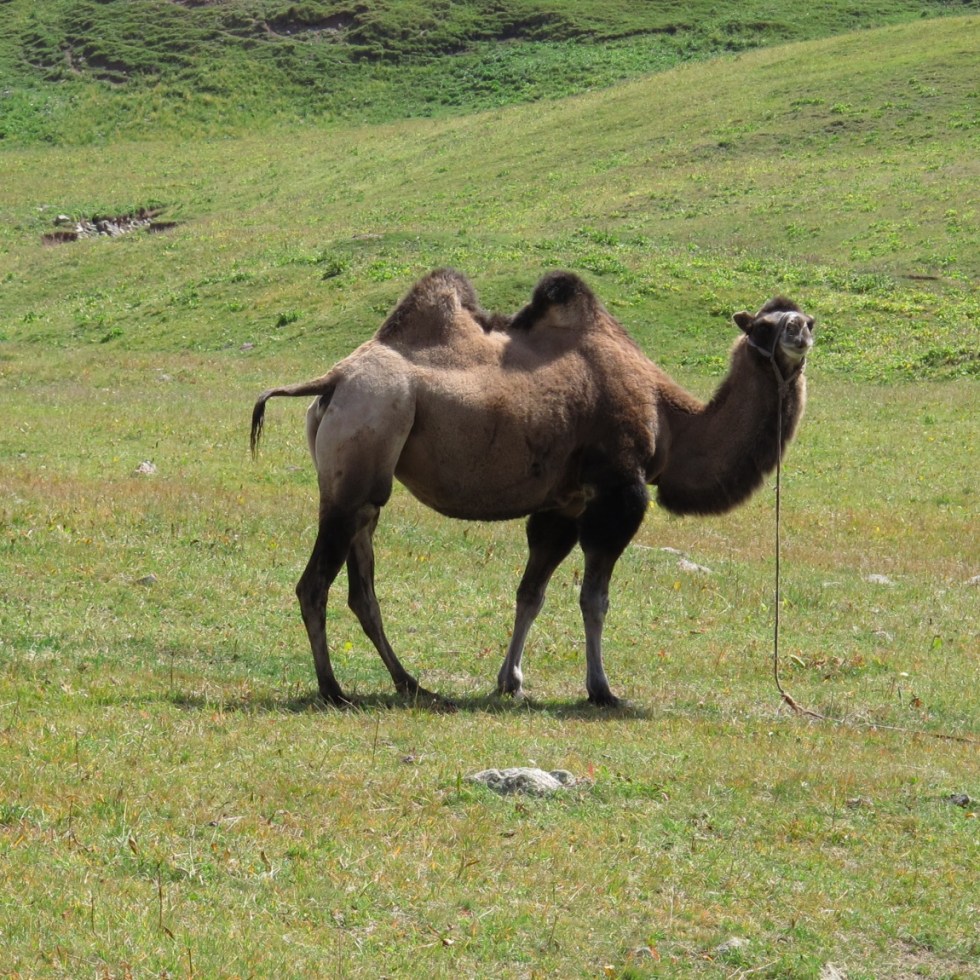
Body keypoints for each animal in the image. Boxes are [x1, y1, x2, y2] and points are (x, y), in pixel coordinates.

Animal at [250, 268, 814, 707]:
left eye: (806, 319)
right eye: (764, 325)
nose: (800, 333)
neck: (671, 423)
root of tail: (333, 381)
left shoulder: (563, 504)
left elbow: (530, 593)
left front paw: (511, 681)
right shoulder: (619, 494)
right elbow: (594, 599)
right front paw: (602, 689)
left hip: (364, 486)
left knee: (362, 591)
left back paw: (410, 682)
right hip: (360, 451)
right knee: (314, 584)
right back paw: (333, 689)